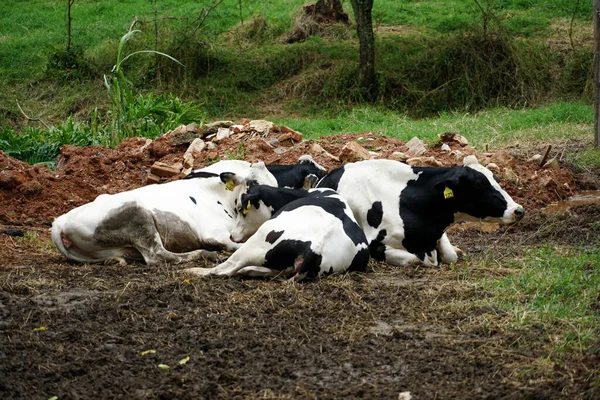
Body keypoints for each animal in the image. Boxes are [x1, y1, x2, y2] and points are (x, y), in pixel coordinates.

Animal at [184, 184, 370, 282]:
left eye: (241, 210)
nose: (231, 235)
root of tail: (316, 247)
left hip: (257, 242)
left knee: (226, 269)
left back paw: (192, 270)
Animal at [316, 155, 524, 266]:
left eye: (496, 179)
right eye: (480, 185)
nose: (518, 210)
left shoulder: (438, 233)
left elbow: (451, 256)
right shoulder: (375, 243)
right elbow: (417, 260)